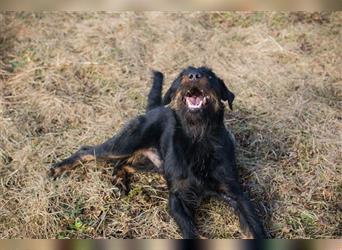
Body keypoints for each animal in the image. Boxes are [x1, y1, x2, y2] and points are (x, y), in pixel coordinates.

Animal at [48, 66, 268, 238]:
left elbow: (255, 228)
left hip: (150, 164)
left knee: (122, 164)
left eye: (210, 76)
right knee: (88, 151)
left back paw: (119, 181)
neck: (198, 138)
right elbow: (191, 232)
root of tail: (153, 110)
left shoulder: (237, 195)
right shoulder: (177, 198)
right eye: (182, 76)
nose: (194, 75)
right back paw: (58, 168)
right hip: (124, 145)